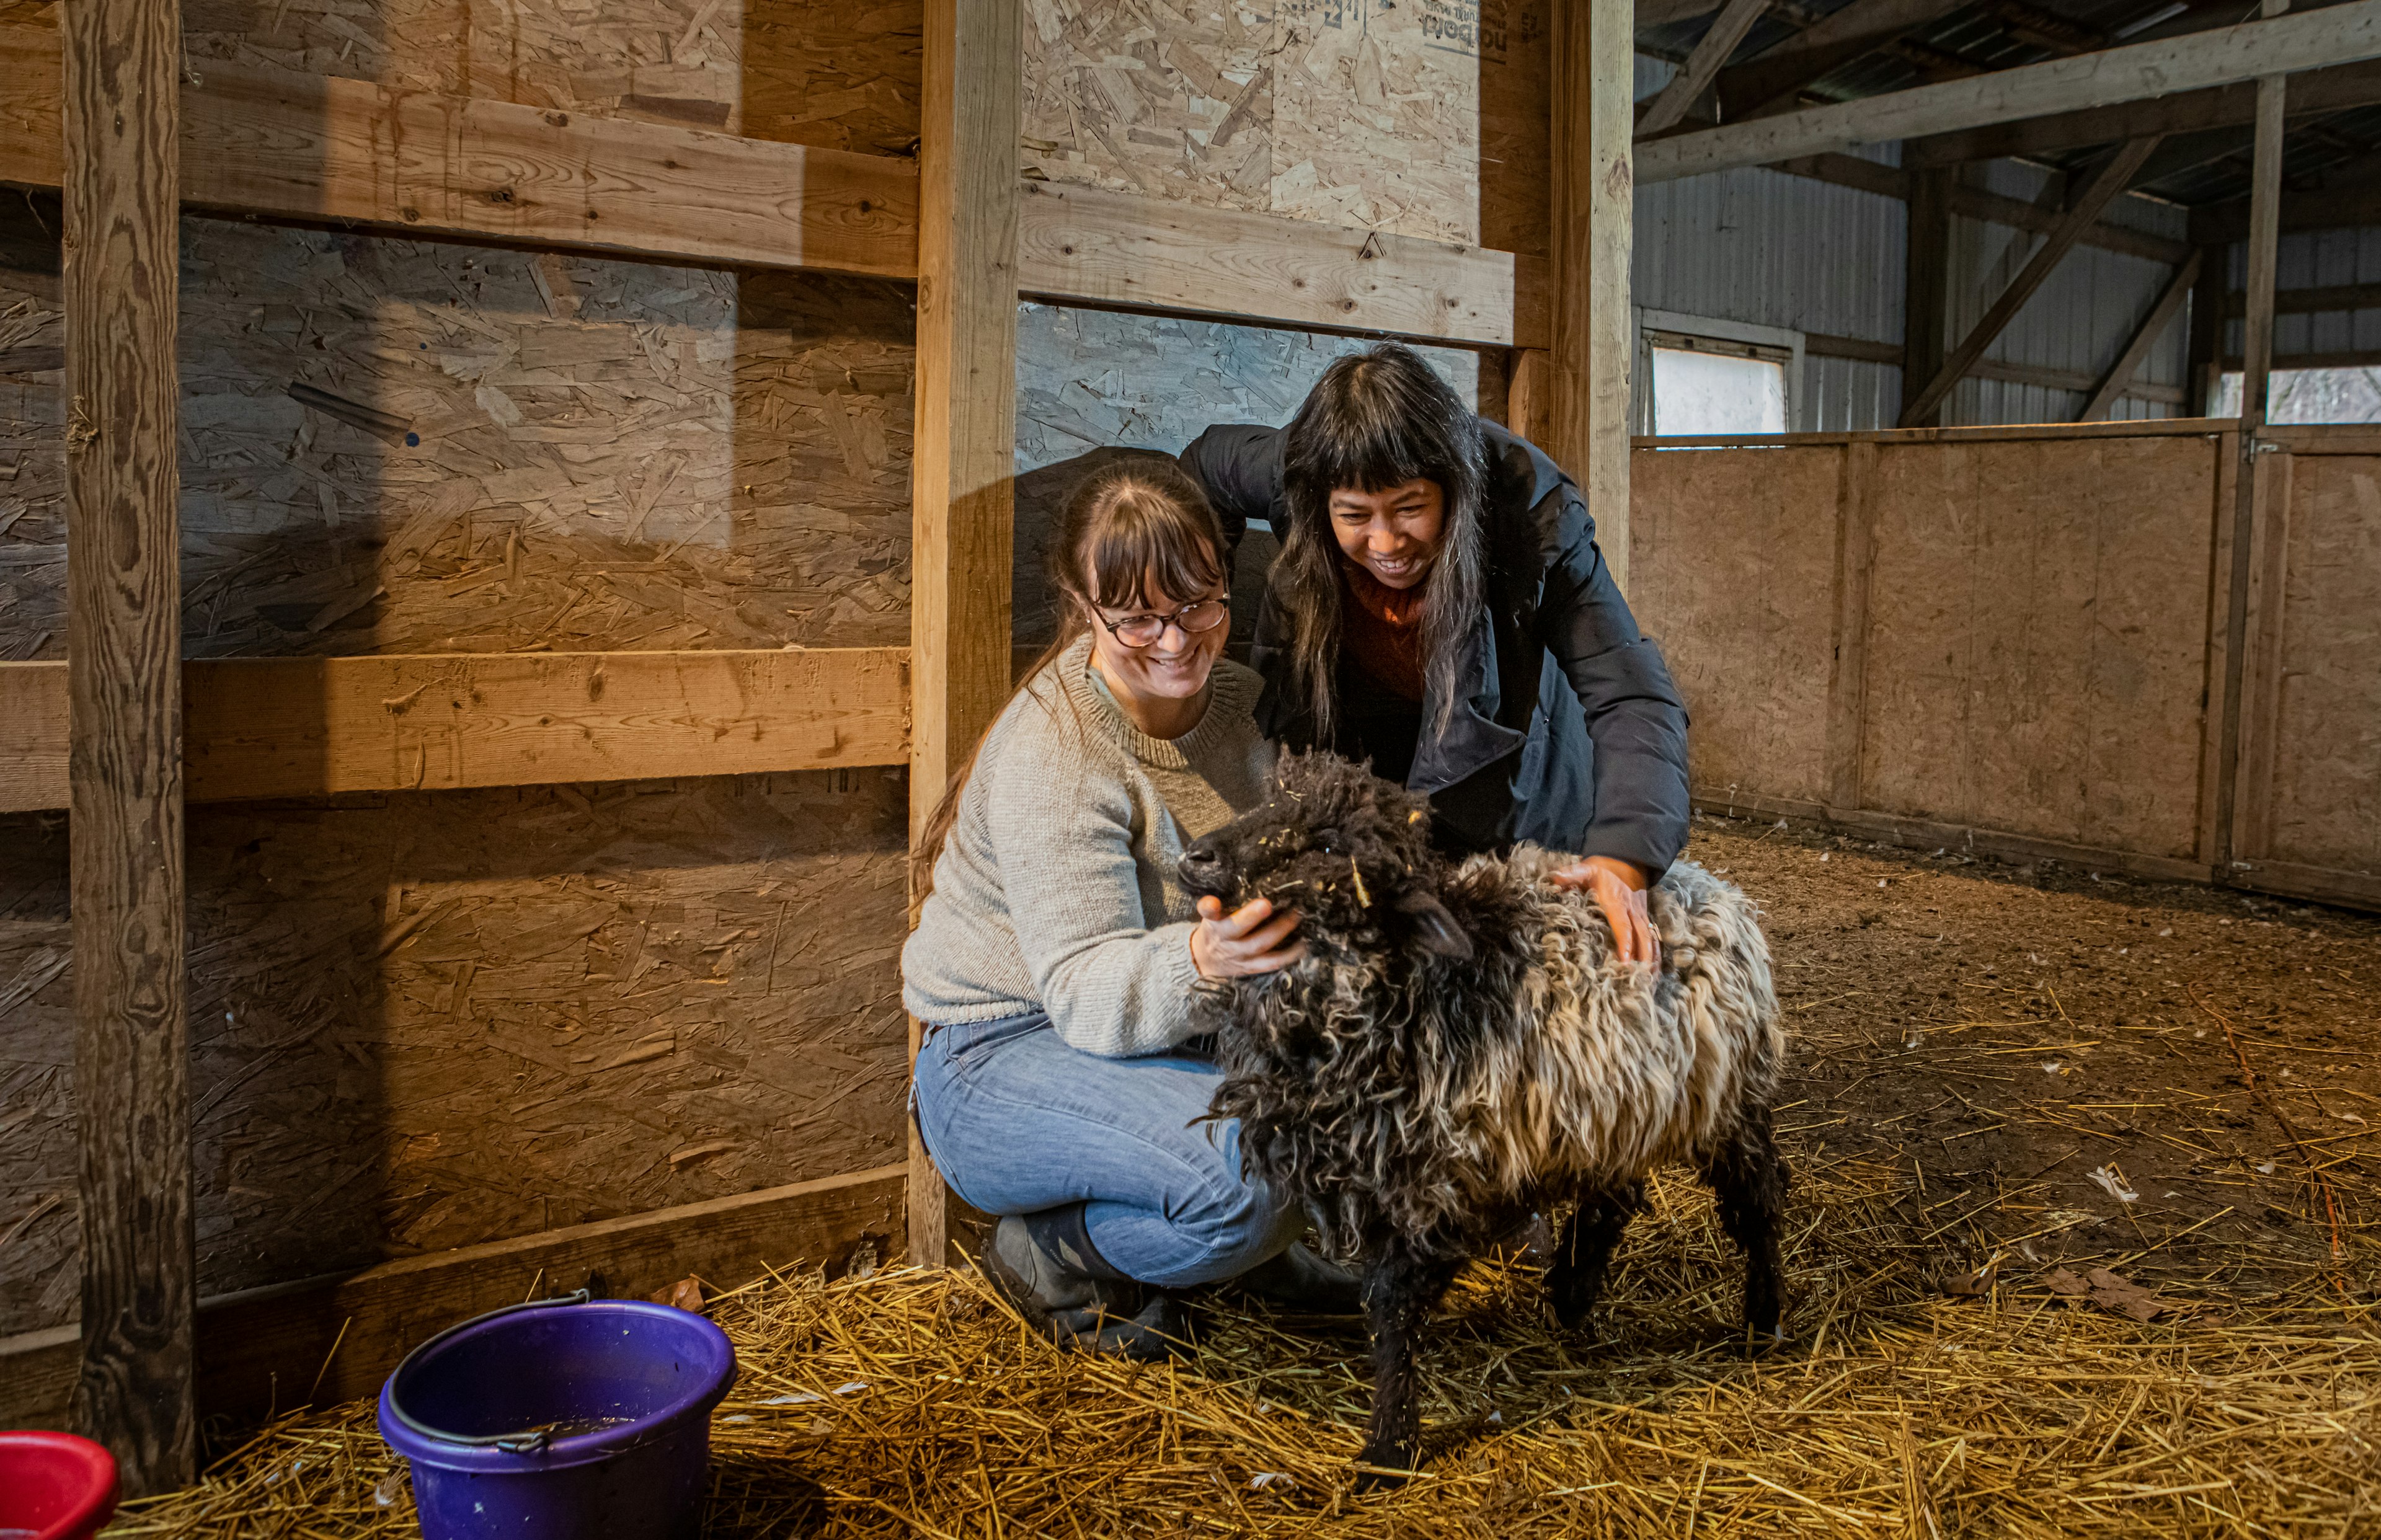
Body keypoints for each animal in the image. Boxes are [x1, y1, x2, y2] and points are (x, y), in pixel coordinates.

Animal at [1171, 752, 1790, 1485]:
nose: (1198, 858)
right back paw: (1573, 1295)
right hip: (1613, 1105)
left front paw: (1388, 1450)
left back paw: (1763, 1319)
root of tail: (1712, 886)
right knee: (1615, 1196)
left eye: (1327, 847)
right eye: (1269, 804)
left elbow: (1393, 1308)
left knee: (1757, 1203)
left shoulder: (1434, 1181)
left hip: (1729, 1102)